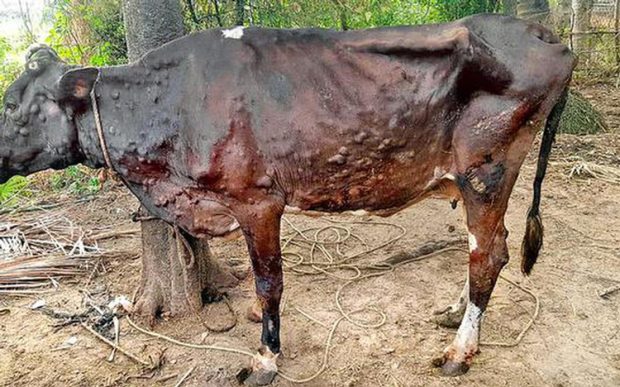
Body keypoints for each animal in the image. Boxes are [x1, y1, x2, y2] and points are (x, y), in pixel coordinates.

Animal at [0, 14, 572, 384]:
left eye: (10, 103)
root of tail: (550, 38)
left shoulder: (257, 200)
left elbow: (269, 281)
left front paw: (266, 358)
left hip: (487, 170)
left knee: (489, 253)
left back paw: (459, 351)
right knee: (486, 249)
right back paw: (456, 314)